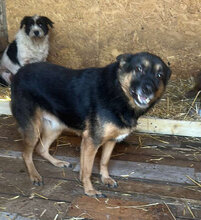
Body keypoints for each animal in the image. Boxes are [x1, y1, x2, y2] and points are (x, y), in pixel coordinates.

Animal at [10, 52, 171, 198]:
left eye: (159, 75)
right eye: (139, 68)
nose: (148, 89)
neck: (118, 92)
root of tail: (19, 72)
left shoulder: (110, 140)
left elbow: (104, 162)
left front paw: (105, 178)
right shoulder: (91, 141)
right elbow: (87, 170)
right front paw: (89, 190)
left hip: (56, 127)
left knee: (41, 149)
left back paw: (58, 162)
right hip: (34, 129)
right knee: (26, 153)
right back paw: (34, 175)